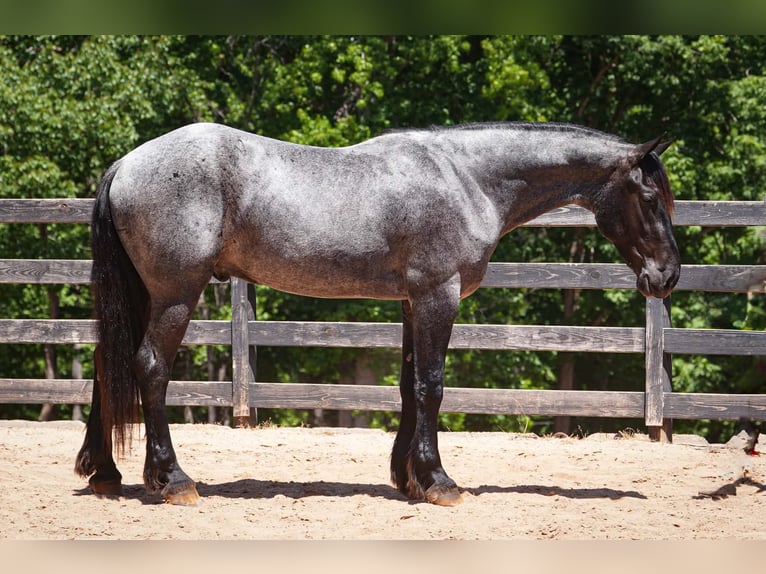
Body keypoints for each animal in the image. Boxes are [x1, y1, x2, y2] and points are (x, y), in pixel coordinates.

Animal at [75, 121, 680, 506]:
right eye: (651, 199)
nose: (667, 276)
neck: (467, 179)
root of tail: (126, 164)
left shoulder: (414, 302)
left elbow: (411, 386)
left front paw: (408, 477)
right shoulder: (439, 295)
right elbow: (433, 386)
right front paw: (438, 482)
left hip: (143, 294)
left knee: (109, 362)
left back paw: (108, 471)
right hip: (176, 294)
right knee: (150, 367)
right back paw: (173, 479)